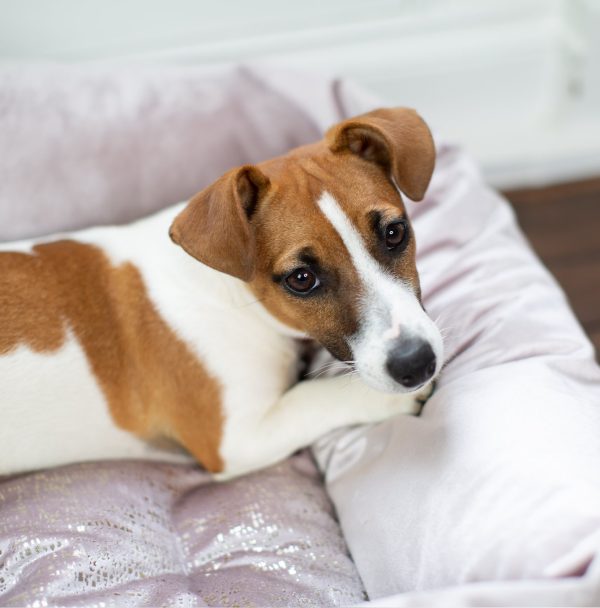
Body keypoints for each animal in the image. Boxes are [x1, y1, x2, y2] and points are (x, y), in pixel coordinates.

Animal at [0, 109, 440, 480]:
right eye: (301, 279)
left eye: (394, 232)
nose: (416, 363)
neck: (234, 294)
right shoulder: (237, 440)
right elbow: (317, 396)